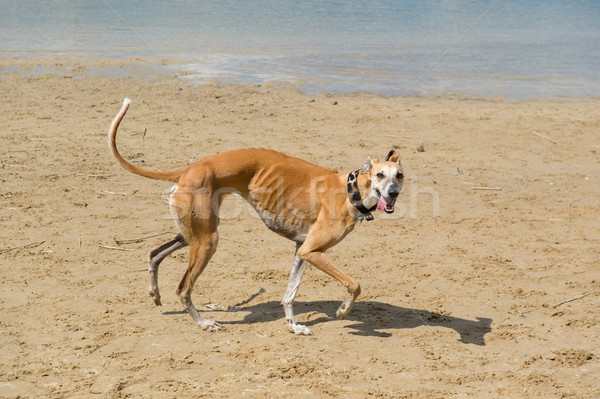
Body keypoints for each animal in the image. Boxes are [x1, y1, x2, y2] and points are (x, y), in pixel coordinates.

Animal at [110, 98, 406, 336]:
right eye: (380, 175)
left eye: (399, 175)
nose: (392, 194)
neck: (351, 189)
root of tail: (190, 169)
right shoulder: (312, 250)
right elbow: (354, 284)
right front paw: (343, 312)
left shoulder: (302, 250)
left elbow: (289, 294)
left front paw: (293, 327)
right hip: (207, 241)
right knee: (183, 288)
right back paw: (204, 323)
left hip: (192, 234)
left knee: (154, 253)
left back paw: (155, 292)